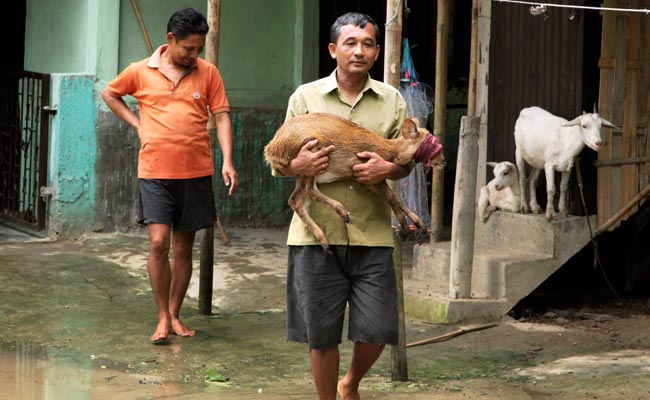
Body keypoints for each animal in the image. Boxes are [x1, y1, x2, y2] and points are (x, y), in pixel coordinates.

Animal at [262, 112, 440, 250]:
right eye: (432, 144)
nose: (443, 161)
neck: (391, 152)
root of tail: (271, 150)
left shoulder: (376, 177)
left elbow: (394, 196)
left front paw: (420, 226)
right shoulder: (367, 176)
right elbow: (391, 196)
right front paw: (406, 227)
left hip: (302, 170)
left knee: (295, 199)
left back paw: (325, 241)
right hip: (313, 155)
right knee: (309, 190)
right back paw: (342, 214)